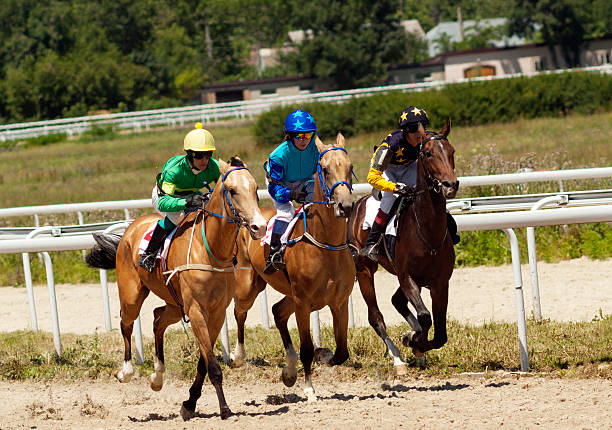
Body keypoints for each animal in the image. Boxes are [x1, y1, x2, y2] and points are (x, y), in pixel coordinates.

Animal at [85, 155, 266, 420]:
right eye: (232, 190)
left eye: (255, 188)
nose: (259, 227)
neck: (212, 250)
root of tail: (131, 228)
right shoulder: (196, 310)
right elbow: (212, 365)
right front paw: (224, 409)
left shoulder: (216, 313)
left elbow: (204, 362)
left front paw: (189, 403)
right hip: (131, 296)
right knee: (126, 323)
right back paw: (126, 371)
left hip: (174, 304)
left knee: (157, 318)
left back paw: (157, 376)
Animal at [230, 134, 356, 400]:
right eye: (325, 169)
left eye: (350, 167)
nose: (345, 206)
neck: (326, 244)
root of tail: (247, 222)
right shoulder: (303, 303)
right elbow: (307, 347)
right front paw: (309, 387)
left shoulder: (339, 301)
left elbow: (341, 351)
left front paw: (324, 355)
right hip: (249, 285)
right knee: (240, 311)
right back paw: (237, 356)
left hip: (290, 294)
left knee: (278, 311)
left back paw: (289, 371)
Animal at [346, 119, 456, 374]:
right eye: (428, 153)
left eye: (452, 152)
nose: (450, 185)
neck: (428, 232)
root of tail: (357, 205)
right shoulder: (407, 277)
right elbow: (425, 316)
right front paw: (412, 340)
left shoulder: (440, 283)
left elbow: (440, 333)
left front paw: (416, 341)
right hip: (364, 269)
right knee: (375, 316)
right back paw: (398, 359)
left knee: (397, 301)